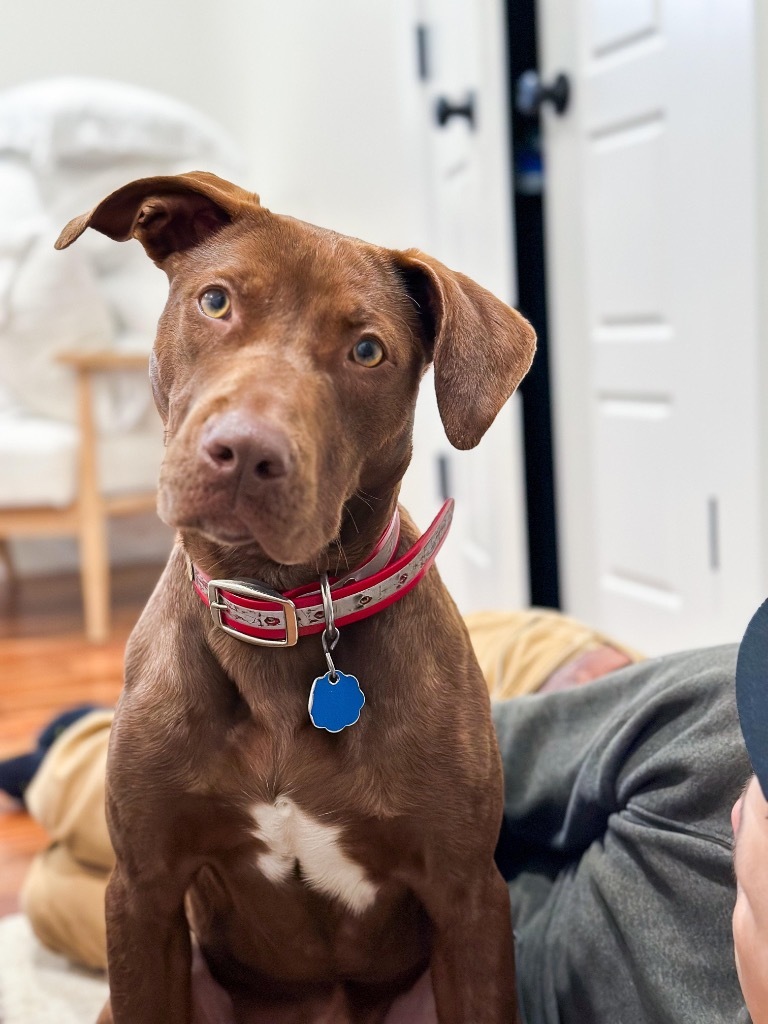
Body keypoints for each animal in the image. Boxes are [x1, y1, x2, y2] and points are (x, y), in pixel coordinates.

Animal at [55, 176, 536, 1024]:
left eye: (368, 351)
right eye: (216, 302)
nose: (246, 452)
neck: (280, 609)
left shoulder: (467, 896)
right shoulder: (142, 889)